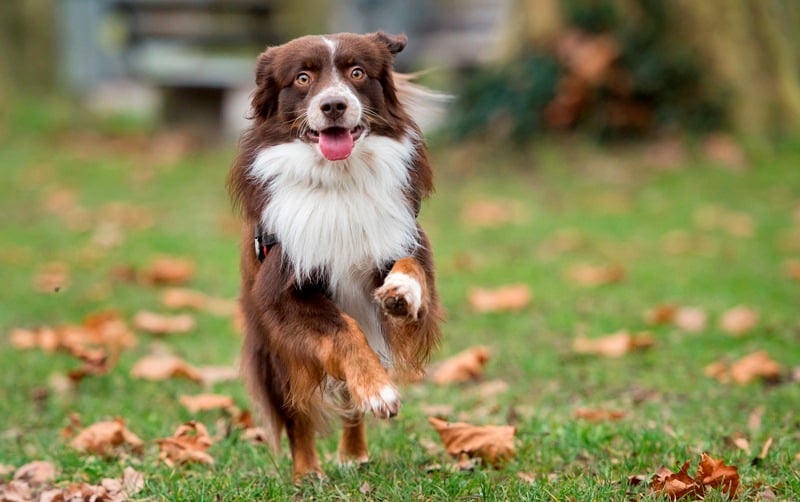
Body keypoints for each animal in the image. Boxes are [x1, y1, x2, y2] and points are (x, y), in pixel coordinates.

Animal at [227, 32, 444, 482]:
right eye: (303, 78)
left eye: (357, 72)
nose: (333, 106)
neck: (338, 179)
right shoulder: (283, 292)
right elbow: (343, 333)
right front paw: (379, 391)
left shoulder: (401, 236)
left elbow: (413, 268)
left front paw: (402, 293)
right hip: (273, 352)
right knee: (297, 409)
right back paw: (307, 472)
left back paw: (354, 454)